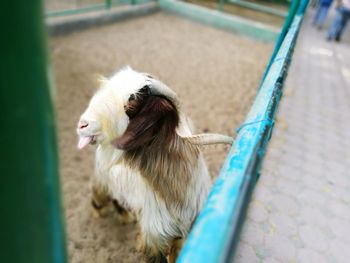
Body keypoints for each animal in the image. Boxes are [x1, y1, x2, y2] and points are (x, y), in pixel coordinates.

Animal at [77, 67, 234, 262]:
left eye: (132, 104)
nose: (82, 125)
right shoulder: (154, 238)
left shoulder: (181, 235)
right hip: (103, 183)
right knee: (101, 197)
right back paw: (100, 214)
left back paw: (124, 217)